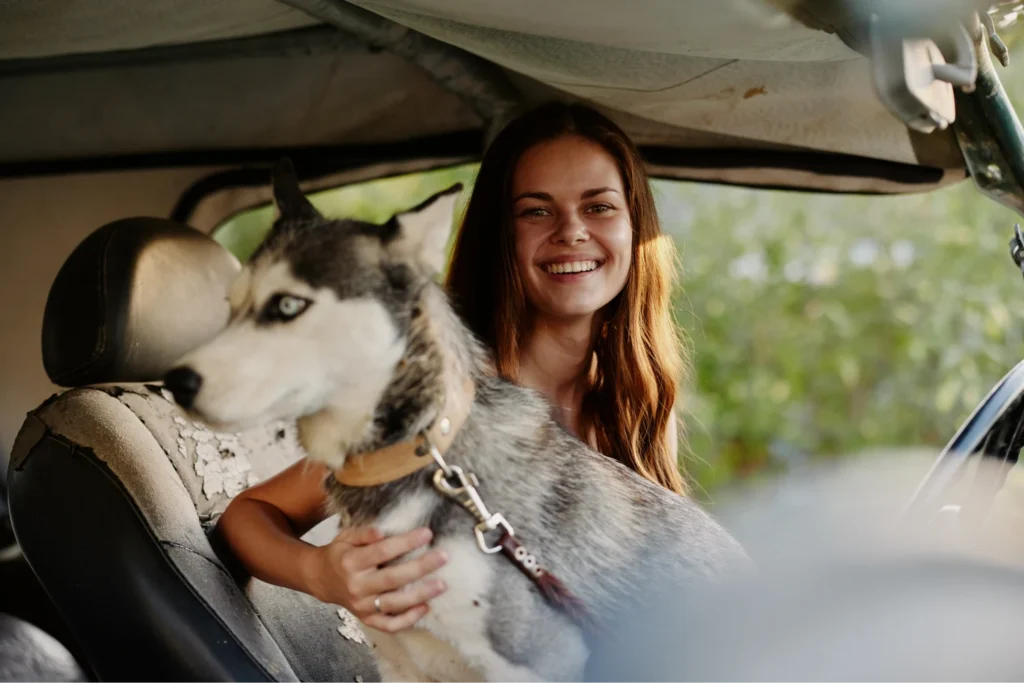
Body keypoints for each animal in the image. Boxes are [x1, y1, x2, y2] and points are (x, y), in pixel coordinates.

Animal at [163, 161, 749, 683]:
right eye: (230, 305)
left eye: (287, 305)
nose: (176, 380)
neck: (418, 456)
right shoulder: (403, 666)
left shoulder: (533, 665)